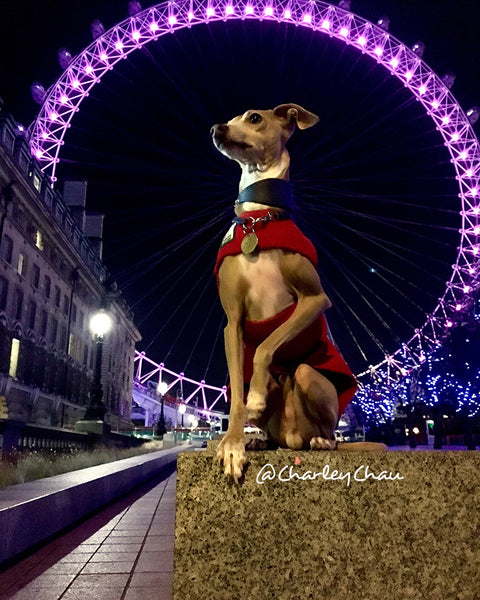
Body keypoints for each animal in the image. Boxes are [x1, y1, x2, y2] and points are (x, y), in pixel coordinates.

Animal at [212, 101, 384, 480]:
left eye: (255, 118)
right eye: (230, 118)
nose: (216, 128)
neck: (259, 220)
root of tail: (292, 437)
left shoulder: (315, 300)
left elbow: (266, 346)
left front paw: (255, 398)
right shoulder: (233, 322)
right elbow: (237, 393)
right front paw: (232, 444)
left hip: (308, 376)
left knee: (327, 430)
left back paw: (321, 441)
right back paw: (258, 439)